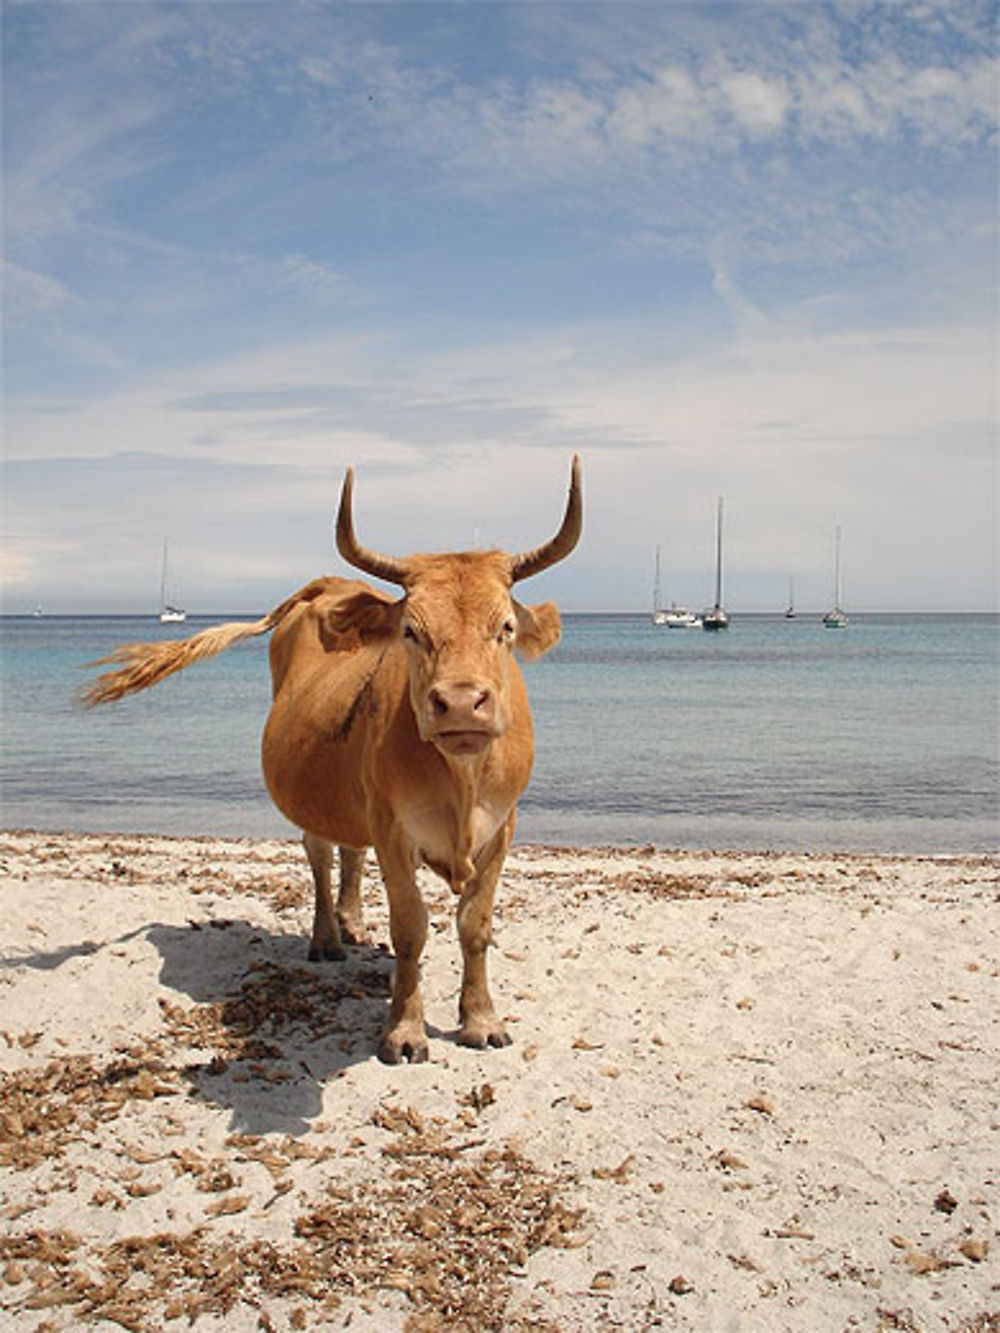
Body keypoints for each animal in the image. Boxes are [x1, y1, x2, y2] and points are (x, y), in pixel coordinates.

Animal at [90, 458, 586, 1061]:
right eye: (411, 631)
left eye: (505, 628)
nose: (461, 703)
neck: (463, 781)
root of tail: (327, 585)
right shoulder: (394, 828)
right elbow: (411, 927)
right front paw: (405, 1030)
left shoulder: (503, 826)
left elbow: (475, 924)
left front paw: (481, 1020)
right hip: (313, 799)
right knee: (321, 855)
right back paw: (328, 937)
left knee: (350, 850)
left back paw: (352, 924)